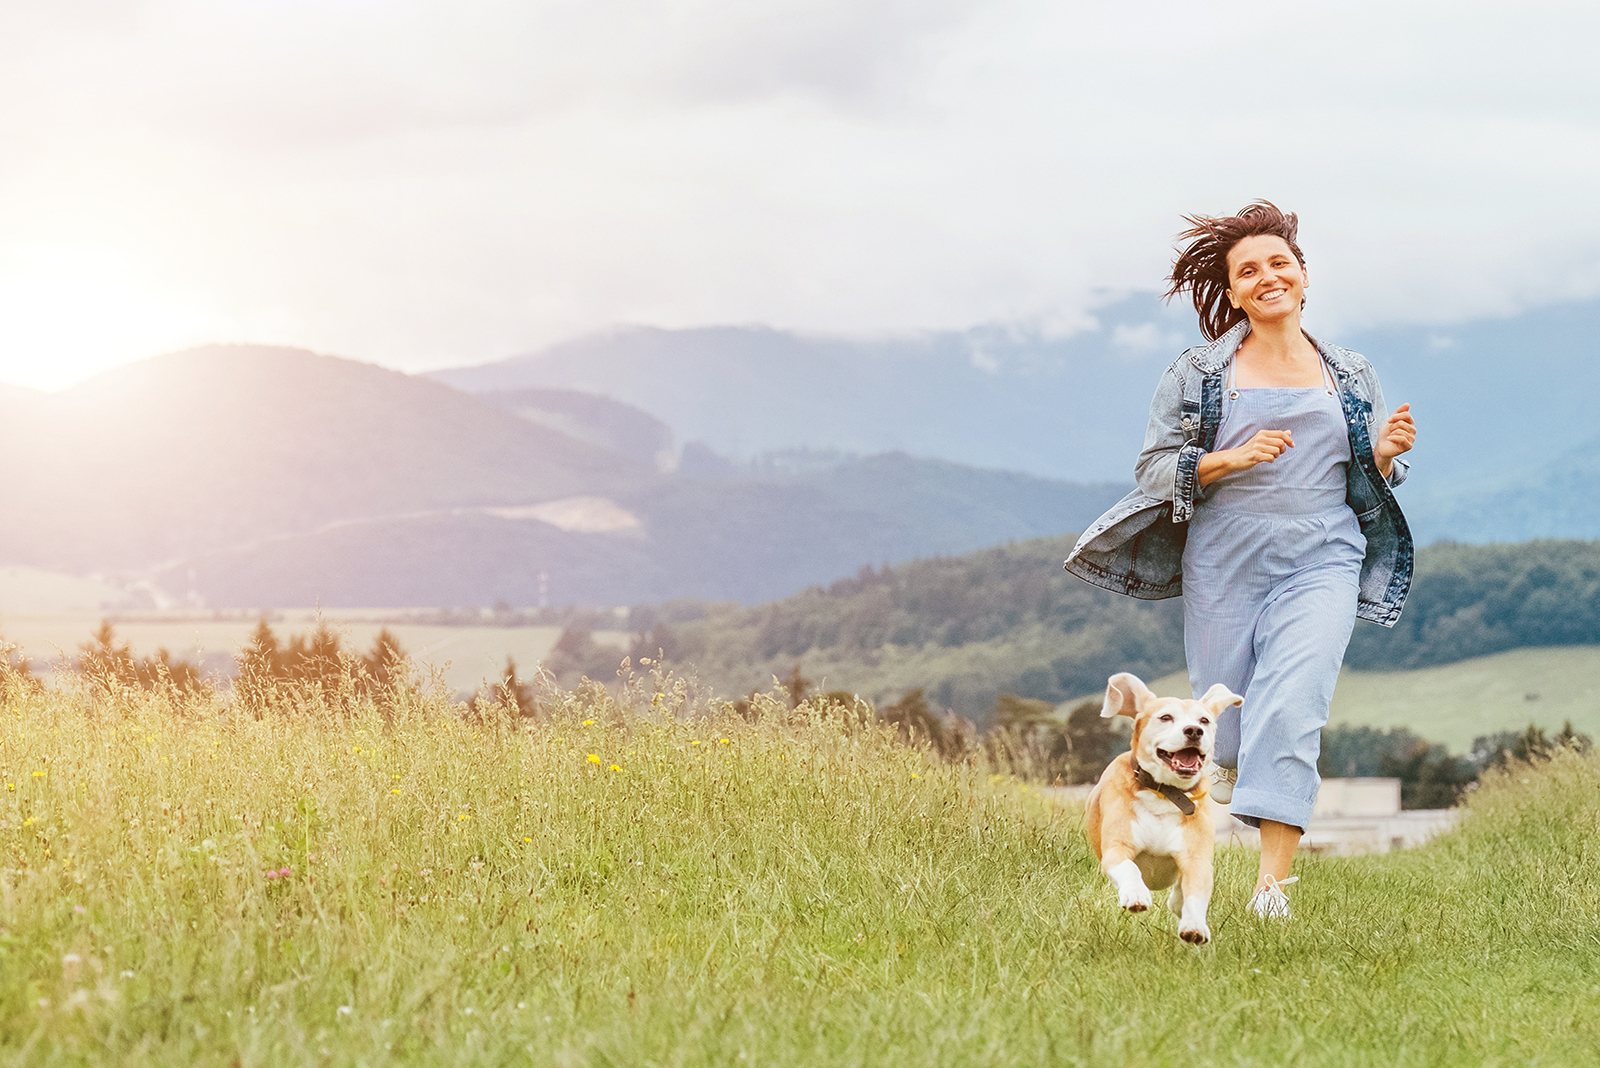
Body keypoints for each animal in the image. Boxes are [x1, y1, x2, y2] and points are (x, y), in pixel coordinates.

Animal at [1081, 671, 1241, 946]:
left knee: (1179, 897)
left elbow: (1195, 892)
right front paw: (1135, 894)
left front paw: (1195, 925)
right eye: (1165, 717)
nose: (1194, 731)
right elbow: (1130, 867)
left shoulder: (1196, 858)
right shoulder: (1116, 849)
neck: (1164, 794)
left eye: (1204, 720)